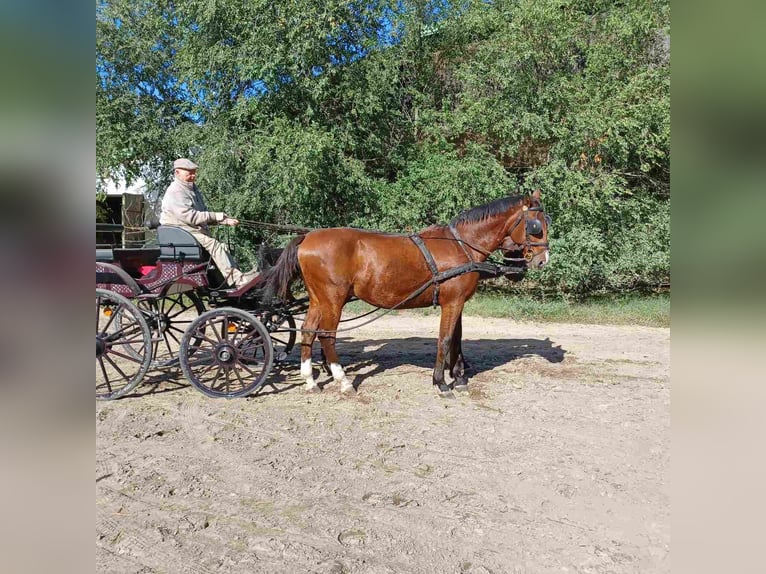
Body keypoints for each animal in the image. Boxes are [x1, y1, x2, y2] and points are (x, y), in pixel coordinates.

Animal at [266, 189, 552, 396]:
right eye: (535, 226)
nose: (542, 260)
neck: (462, 245)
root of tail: (307, 238)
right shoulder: (452, 302)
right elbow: (445, 340)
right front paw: (441, 382)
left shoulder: (458, 302)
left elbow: (457, 339)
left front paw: (459, 377)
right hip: (333, 300)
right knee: (326, 336)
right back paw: (343, 380)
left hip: (318, 300)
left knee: (308, 332)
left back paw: (310, 380)